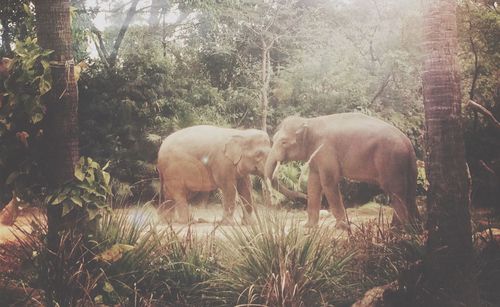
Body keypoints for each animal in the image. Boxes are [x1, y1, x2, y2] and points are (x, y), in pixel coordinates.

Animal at [264, 113, 420, 229]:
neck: (309, 122)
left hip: (390, 160)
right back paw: (412, 227)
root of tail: (407, 142)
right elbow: (313, 183)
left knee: (396, 191)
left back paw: (399, 229)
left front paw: (341, 226)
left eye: (284, 142)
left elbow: (328, 182)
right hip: (408, 165)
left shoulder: (326, 150)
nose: (302, 196)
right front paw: (309, 226)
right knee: (409, 191)